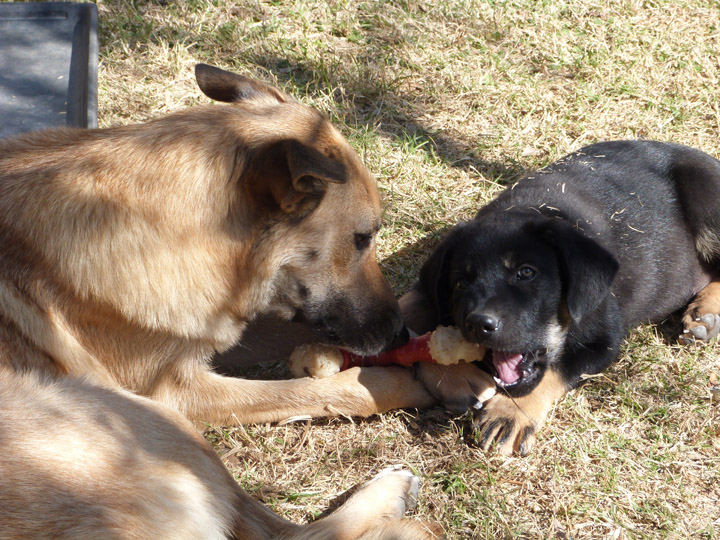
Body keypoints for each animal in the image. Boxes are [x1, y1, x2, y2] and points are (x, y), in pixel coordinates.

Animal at [0, 66, 466, 540]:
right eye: (362, 238)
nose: (399, 336)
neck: (180, 230)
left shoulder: (218, 325)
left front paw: (444, 362)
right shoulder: (178, 391)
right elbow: (311, 391)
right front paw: (396, 379)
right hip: (147, 417)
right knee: (289, 533)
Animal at [414, 140, 720, 456]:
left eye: (526, 272)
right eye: (460, 283)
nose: (479, 324)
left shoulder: (604, 338)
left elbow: (556, 370)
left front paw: (509, 413)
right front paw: (454, 375)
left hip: (707, 197)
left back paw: (704, 313)